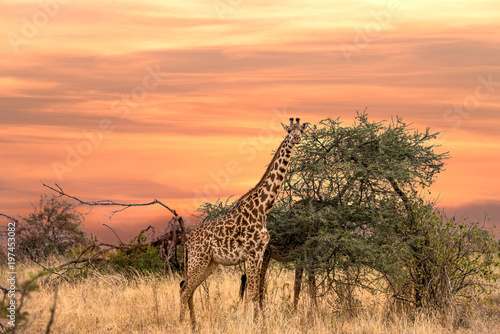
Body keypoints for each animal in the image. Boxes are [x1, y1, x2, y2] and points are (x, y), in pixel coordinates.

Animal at [180, 117, 308, 326]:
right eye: (289, 130)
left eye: (301, 131)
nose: (296, 138)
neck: (263, 208)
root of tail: (187, 242)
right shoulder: (253, 253)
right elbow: (252, 293)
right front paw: (250, 322)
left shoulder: (260, 253)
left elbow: (254, 292)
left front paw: (257, 321)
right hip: (198, 260)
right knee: (185, 290)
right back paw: (182, 323)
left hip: (209, 264)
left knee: (188, 289)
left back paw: (194, 325)